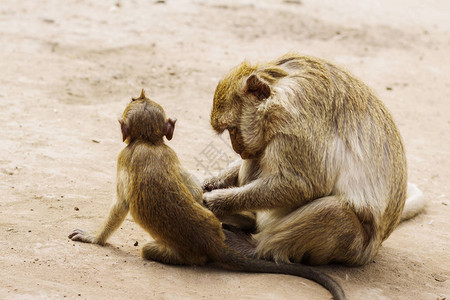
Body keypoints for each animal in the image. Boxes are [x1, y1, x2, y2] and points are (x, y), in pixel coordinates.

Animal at [69, 90, 344, 298]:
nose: (137, 93)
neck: (148, 142)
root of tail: (212, 243)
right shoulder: (171, 154)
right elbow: (194, 192)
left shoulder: (124, 158)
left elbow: (120, 205)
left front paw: (95, 238)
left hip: (181, 253)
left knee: (148, 249)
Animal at [202, 53, 424, 264]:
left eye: (232, 129)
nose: (237, 148)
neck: (280, 88)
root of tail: (375, 247)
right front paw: (214, 181)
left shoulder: (296, 123)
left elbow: (304, 184)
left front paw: (218, 202)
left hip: (353, 247)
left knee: (333, 211)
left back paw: (254, 248)